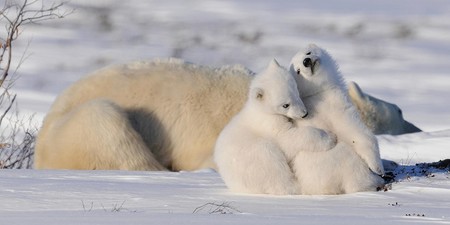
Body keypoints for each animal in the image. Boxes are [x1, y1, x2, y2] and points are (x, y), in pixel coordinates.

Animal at [214, 59, 338, 195]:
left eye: (296, 91)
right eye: (285, 105)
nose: (304, 113)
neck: (261, 110)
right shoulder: (269, 124)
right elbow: (286, 139)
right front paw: (330, 138)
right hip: (256, 160)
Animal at [290, 43, 384, 193]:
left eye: (308, 52)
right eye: (298, 71)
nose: (306, 61)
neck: (317, 92)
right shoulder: (335, 105)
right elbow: (357, 132)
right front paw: (378, 167)